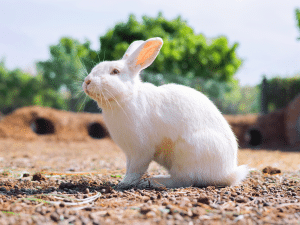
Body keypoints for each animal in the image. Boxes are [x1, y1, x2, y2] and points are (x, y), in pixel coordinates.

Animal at [82, 37, 248, 190]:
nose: (87, 81)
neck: (127, 97)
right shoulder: (129, 152)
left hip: (186, 153)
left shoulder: (141, 150)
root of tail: (228, 173)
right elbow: (129, 166)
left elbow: (135, 169)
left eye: (115, 71)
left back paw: (153, 181)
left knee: (183, 180)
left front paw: (124, 183)